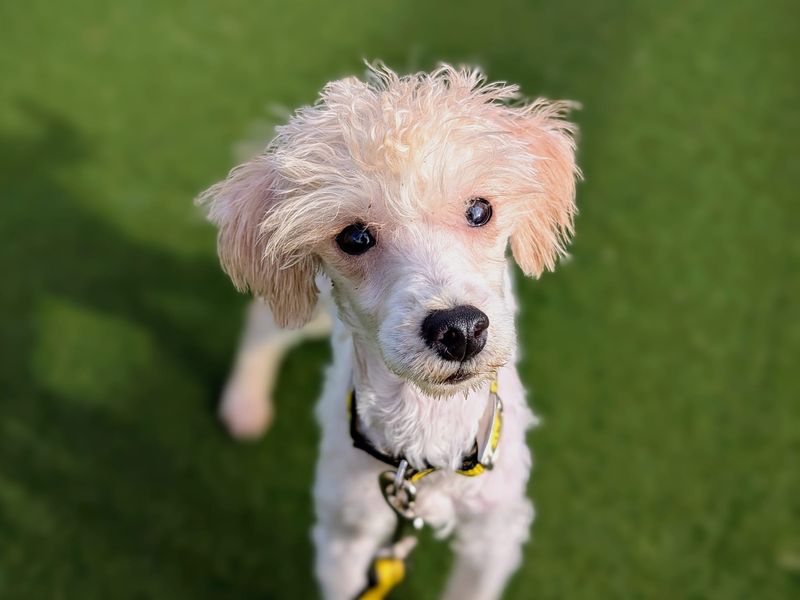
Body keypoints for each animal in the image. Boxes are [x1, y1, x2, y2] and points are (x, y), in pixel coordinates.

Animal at [198, 64, 580, 600]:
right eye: (355, 237)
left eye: (480, 211)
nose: (460, 329)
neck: (426, 440)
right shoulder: (346, 534)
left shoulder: (494, 533)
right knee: (262, 321)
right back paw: (245, 401)